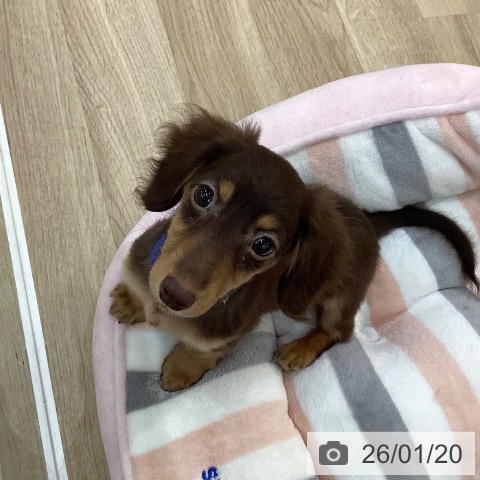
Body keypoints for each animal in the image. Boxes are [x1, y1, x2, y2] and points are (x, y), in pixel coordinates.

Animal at [110, 108, 478, 392]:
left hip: (341, 297)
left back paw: (300, 350)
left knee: (338, 331)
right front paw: (132, 300)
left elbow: (199, 352)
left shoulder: (227, 337)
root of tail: (368, 222)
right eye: (203, 195)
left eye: (263, 245)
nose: (173, 295)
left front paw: (180, 369)